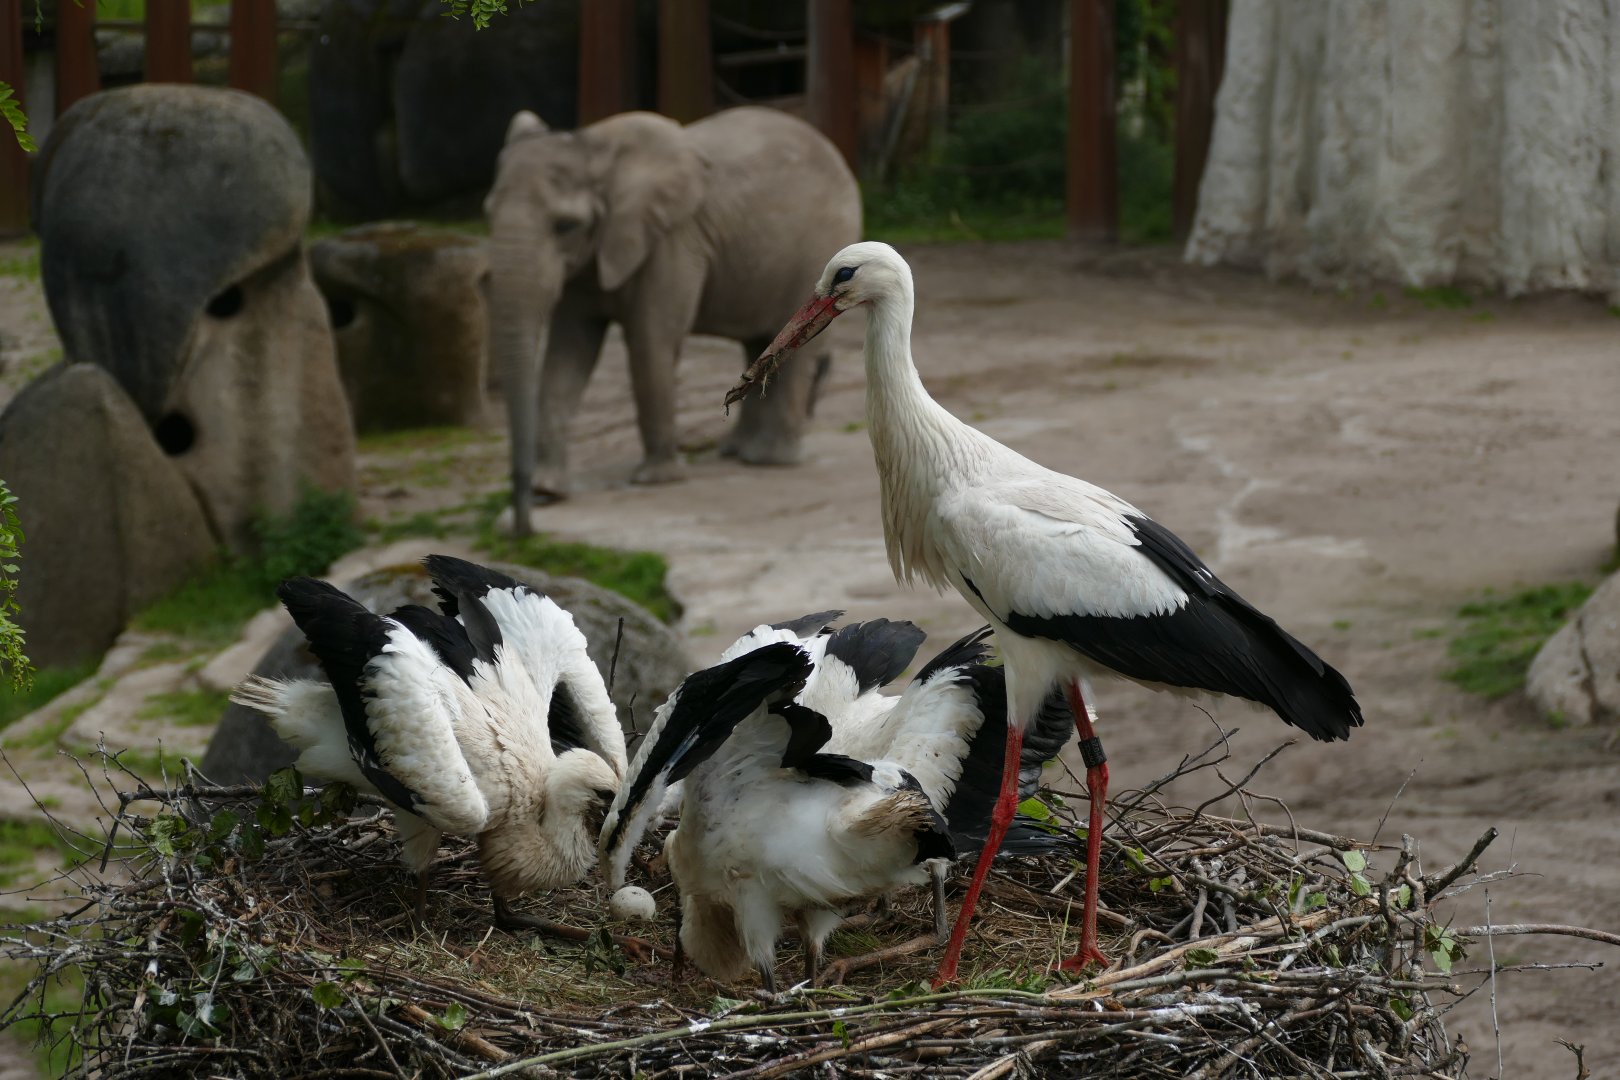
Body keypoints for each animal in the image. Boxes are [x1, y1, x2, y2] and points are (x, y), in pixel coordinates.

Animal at [484, 105, 861, 532]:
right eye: (486, 215)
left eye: (565, 226)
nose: (524, 526)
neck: (594, 148)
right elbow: (566, 356)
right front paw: (549, 489)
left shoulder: (672, 241)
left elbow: (651, 343)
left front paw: (655, 480)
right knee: (763, 344)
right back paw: (736, 452)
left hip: (821, 245)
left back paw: (769, 460)